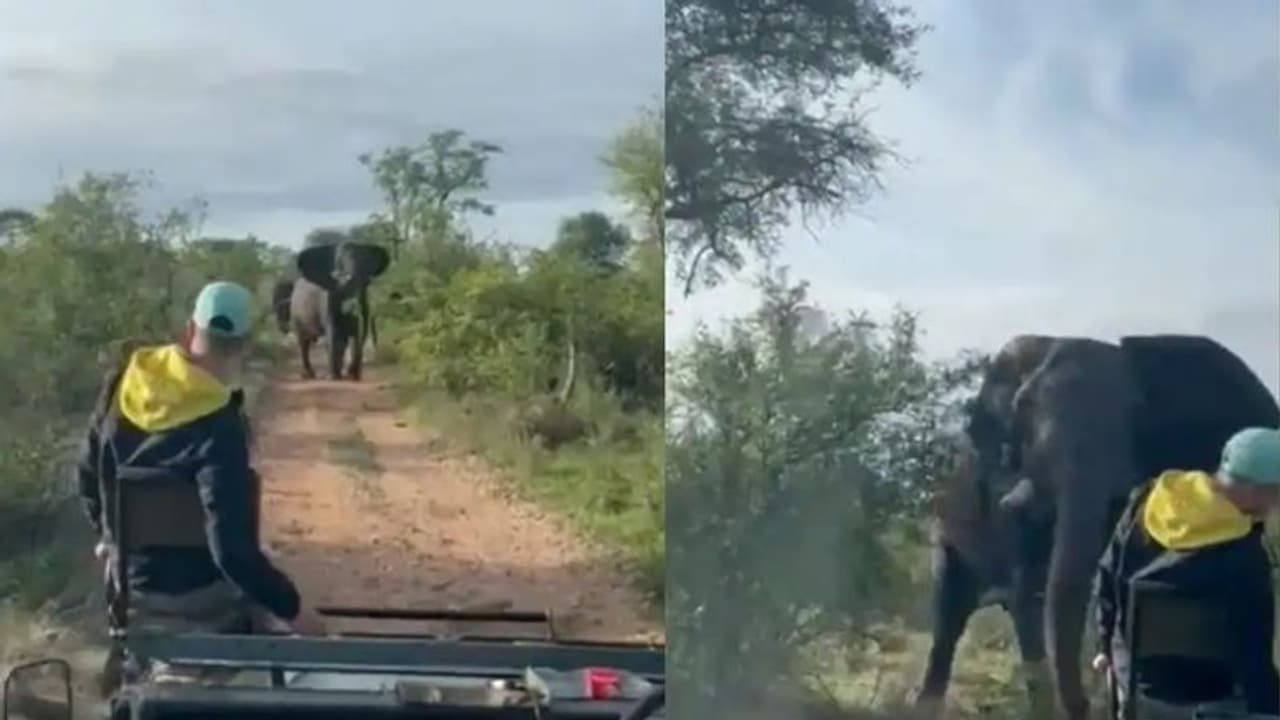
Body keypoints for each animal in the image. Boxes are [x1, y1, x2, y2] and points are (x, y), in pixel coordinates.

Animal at [288, 240, 390, 380]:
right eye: (339, 261)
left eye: (366, 281)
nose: (352, 372)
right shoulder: (327, 297)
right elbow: (333, 331)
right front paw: (335, 377)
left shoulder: (364, 298)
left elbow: (357, 332)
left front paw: (351, 376)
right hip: (295, 313)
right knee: (304, 342)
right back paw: (309, 375)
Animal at [917, 333, 1280, 720]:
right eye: (1025, 407)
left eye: (1135, 409)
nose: (1088, 705)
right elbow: (1027, 590)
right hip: (943, 530)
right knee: (950, 614)